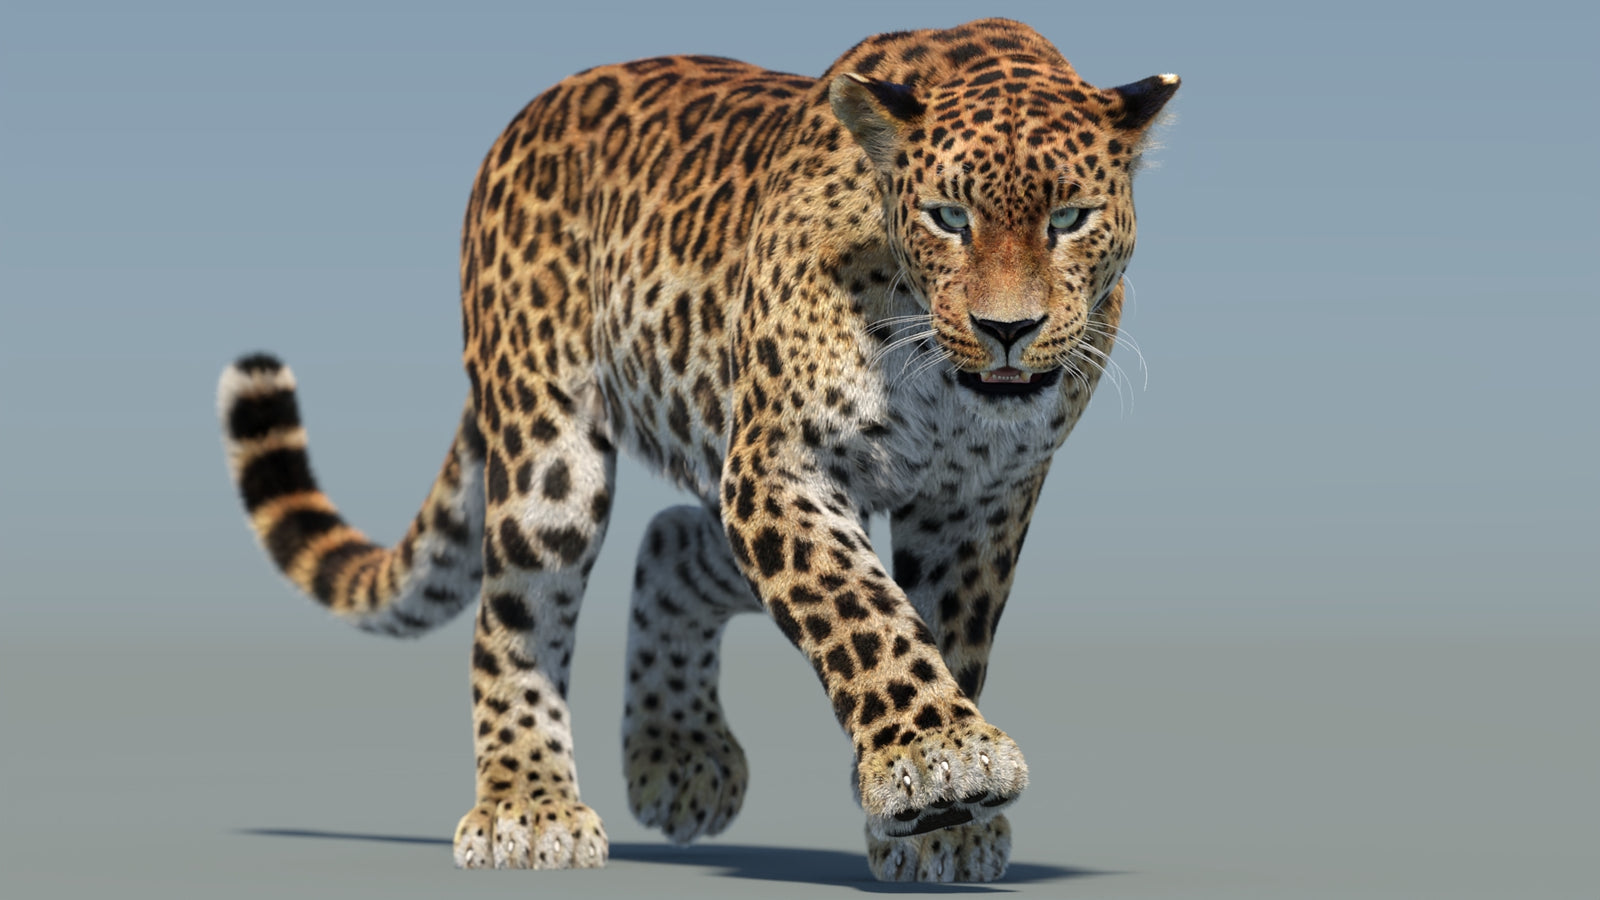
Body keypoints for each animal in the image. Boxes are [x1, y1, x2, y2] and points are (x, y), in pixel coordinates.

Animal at [215, 17, 1177, 883]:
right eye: (948, 218)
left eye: (1070, 218)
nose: (1007, 330)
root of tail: (525, 118)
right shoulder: (778, 466)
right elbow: (860, 612)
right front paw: (937, 761)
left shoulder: (978, 503)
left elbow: (946, 632)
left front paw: (942, 819)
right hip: (550, 456)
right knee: (514, 617)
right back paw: (529, 807)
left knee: (676, 537)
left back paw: (678, 759)